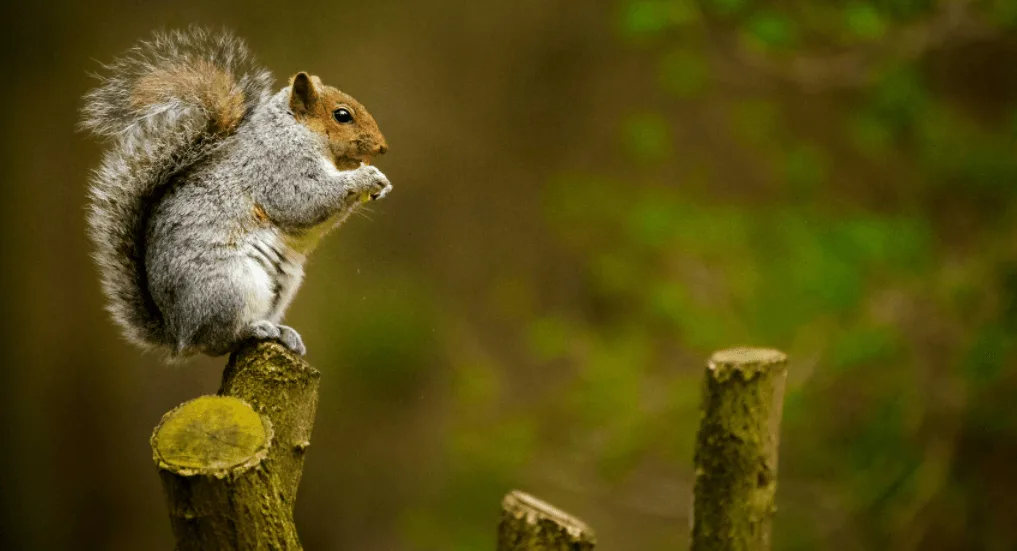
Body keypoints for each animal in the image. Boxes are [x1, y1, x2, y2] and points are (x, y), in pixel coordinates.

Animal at [80, 27, 391, 357]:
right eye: (342, 115)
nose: (382, 147)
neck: (295, 130)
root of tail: (179, 333)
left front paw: (380, 183)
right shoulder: (279, 168)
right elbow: (306, 200)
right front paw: (366, 177)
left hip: (281, 287)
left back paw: (284, 333)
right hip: (232, 286)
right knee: (218, 340)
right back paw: (255, 329)